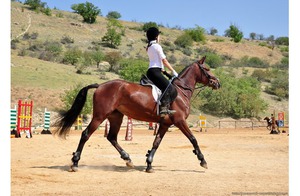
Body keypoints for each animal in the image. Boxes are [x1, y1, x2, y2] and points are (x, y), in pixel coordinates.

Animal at [53, 56, 220, 172]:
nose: (218, 83)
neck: (180, 91)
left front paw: (149, 164)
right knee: (86, 134)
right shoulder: (179, 121)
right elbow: (193, 139)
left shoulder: (165, 124)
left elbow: (156, 143)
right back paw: (75, 162)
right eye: (207, 68)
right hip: (100, 116)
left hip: (116, 116)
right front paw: (203, 161)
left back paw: (128, 159)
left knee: (112, 137)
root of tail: (100, 85)